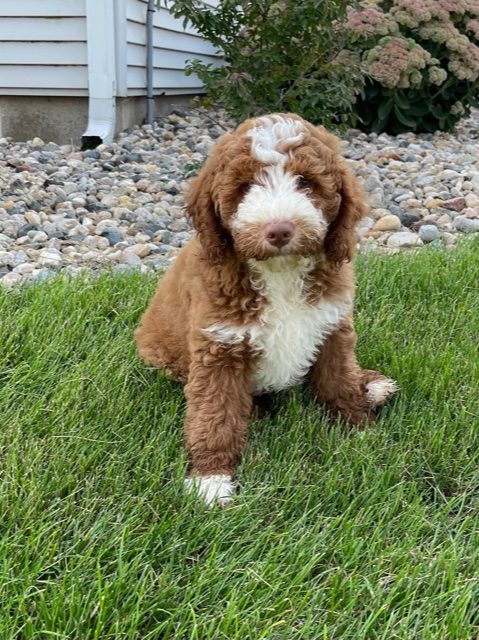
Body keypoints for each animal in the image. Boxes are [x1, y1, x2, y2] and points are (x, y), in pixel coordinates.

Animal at [135, 114, 398, 504]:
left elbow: (339, 380)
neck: (280, 271)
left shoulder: (332, 326)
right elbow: (215, 413)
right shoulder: (218, 346)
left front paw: (358, 428)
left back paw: (374, 385)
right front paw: (211, 480)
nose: (279, 230)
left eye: (304, 182)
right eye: (245, 187)